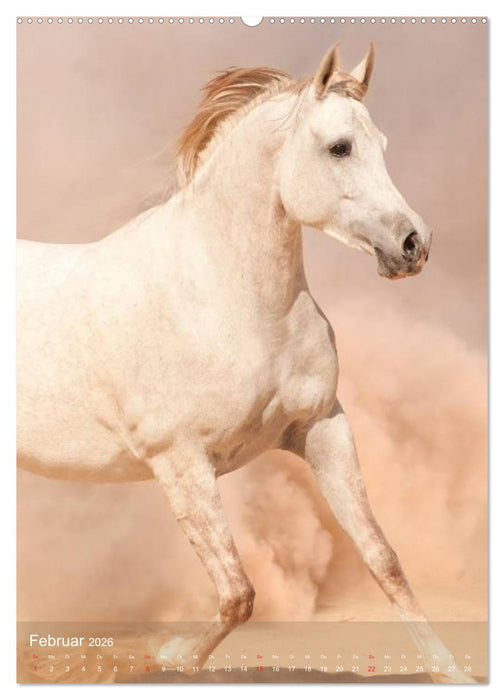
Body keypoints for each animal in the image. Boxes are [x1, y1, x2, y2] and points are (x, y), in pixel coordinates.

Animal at [17, 43, 472, 683]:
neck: (229, 299)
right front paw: (168, 657)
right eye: (339, 147)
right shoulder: (181, 463)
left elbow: (383, 558)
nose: (413, 246)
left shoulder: (322, 427)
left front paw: (450, 673)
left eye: (381, 143)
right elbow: (239, 593)